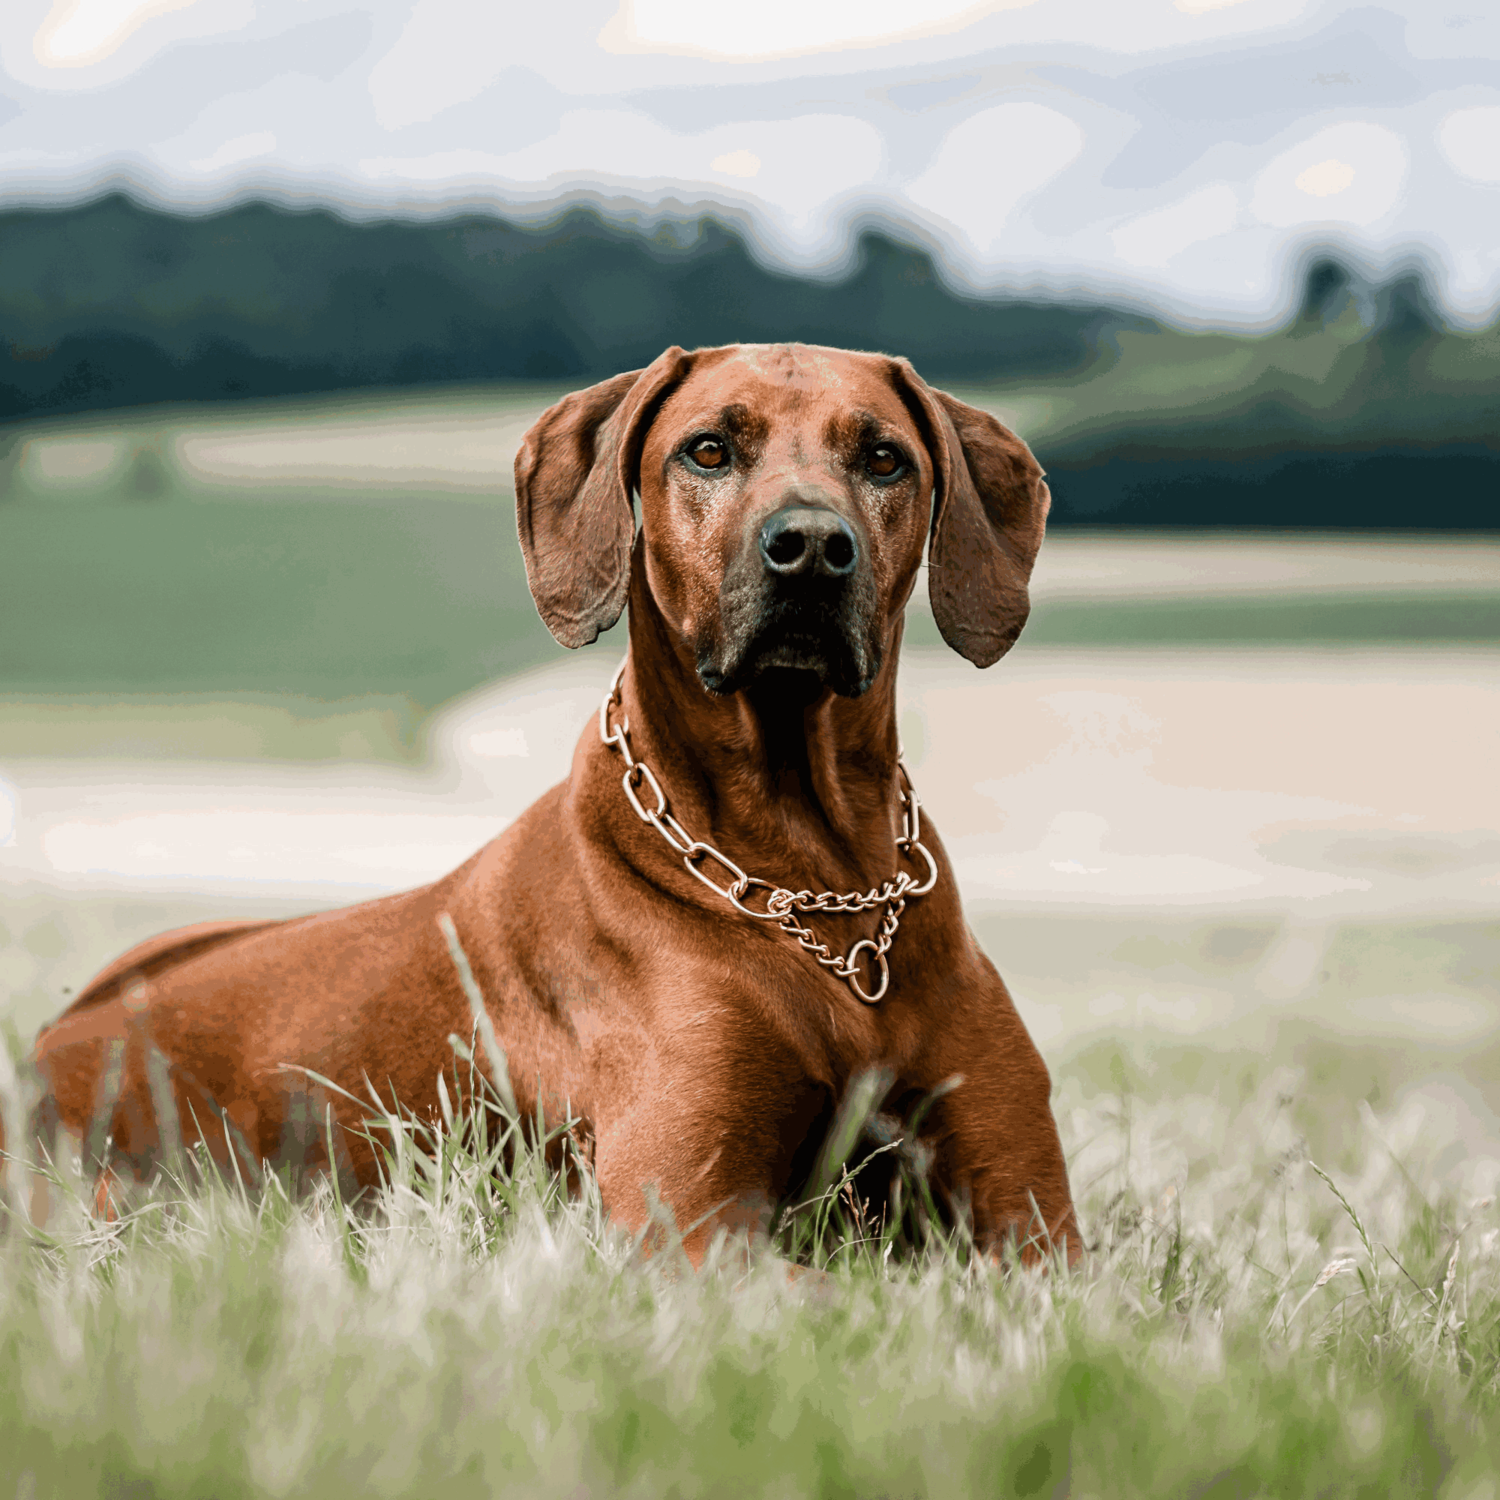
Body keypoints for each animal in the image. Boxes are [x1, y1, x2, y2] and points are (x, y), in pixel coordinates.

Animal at [26, 343, 1080, 1266]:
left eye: (883, 458)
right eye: (708, 449)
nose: (815, 547)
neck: (810, 871)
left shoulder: (1036, 1230)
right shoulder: (684, 1225)